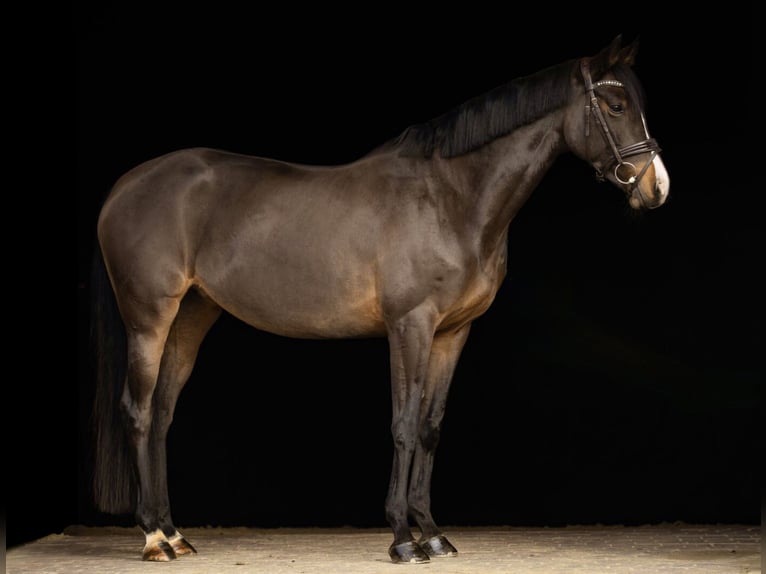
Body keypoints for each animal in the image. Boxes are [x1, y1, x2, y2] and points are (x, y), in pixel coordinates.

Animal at [90, 34, 669, 563]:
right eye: (616, 106)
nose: (656, 187)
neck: (450, 197)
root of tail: (124, 187)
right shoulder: (409, 325)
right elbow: (403, 425)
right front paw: (401, 539)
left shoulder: (453, 331)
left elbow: (430, 428)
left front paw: (432, 533)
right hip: (149, 319)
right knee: (138, 412)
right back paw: (153, 538)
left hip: (191, 315)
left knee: (162, 415)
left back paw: (175, 533)